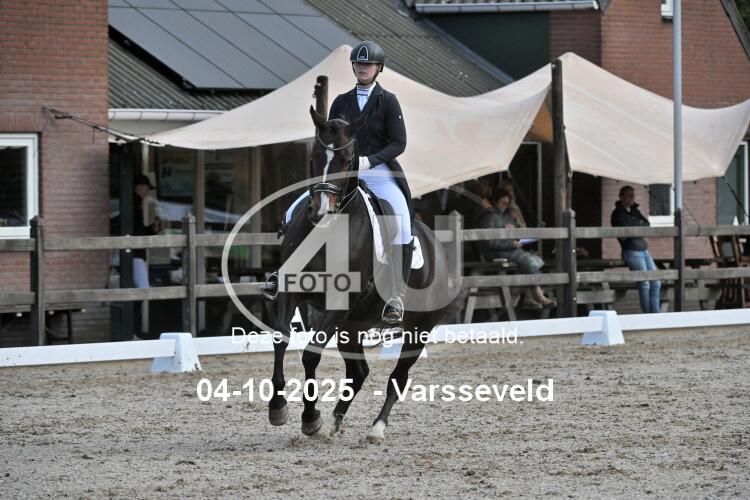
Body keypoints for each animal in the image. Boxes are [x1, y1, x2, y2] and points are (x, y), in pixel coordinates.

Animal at [267, 106, 461, 444]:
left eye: (347, 160)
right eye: (315, 155)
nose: (320, 211)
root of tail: (436, 247)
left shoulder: (338, 303)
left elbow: (311, 355)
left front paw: (310, 418)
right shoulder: (292, 290)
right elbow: (281, 338)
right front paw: (278, 408)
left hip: (417, 328)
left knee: (398, 377)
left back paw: (376, 429)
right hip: (352, 327)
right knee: (359, 374)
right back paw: (333, 423)